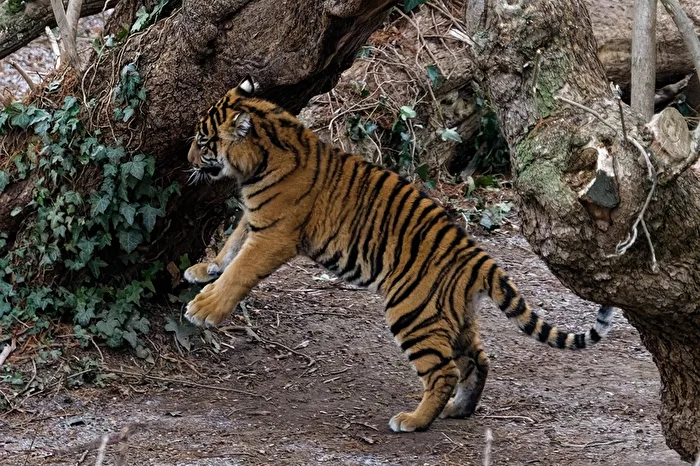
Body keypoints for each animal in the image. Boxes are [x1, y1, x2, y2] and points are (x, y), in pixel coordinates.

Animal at [183, 76, 614, 433]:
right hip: (455, 316)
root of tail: (478, 258)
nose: (187, 161)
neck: (262, 156)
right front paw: (204, 269)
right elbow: (232, 243)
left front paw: (204, 309)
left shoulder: (276, 233)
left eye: (203, 142)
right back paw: (459, 410)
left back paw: (414, 421)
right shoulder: (257, 219)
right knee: (478, 360)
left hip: (413, 310)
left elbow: (241, 268)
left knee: (443, 372)